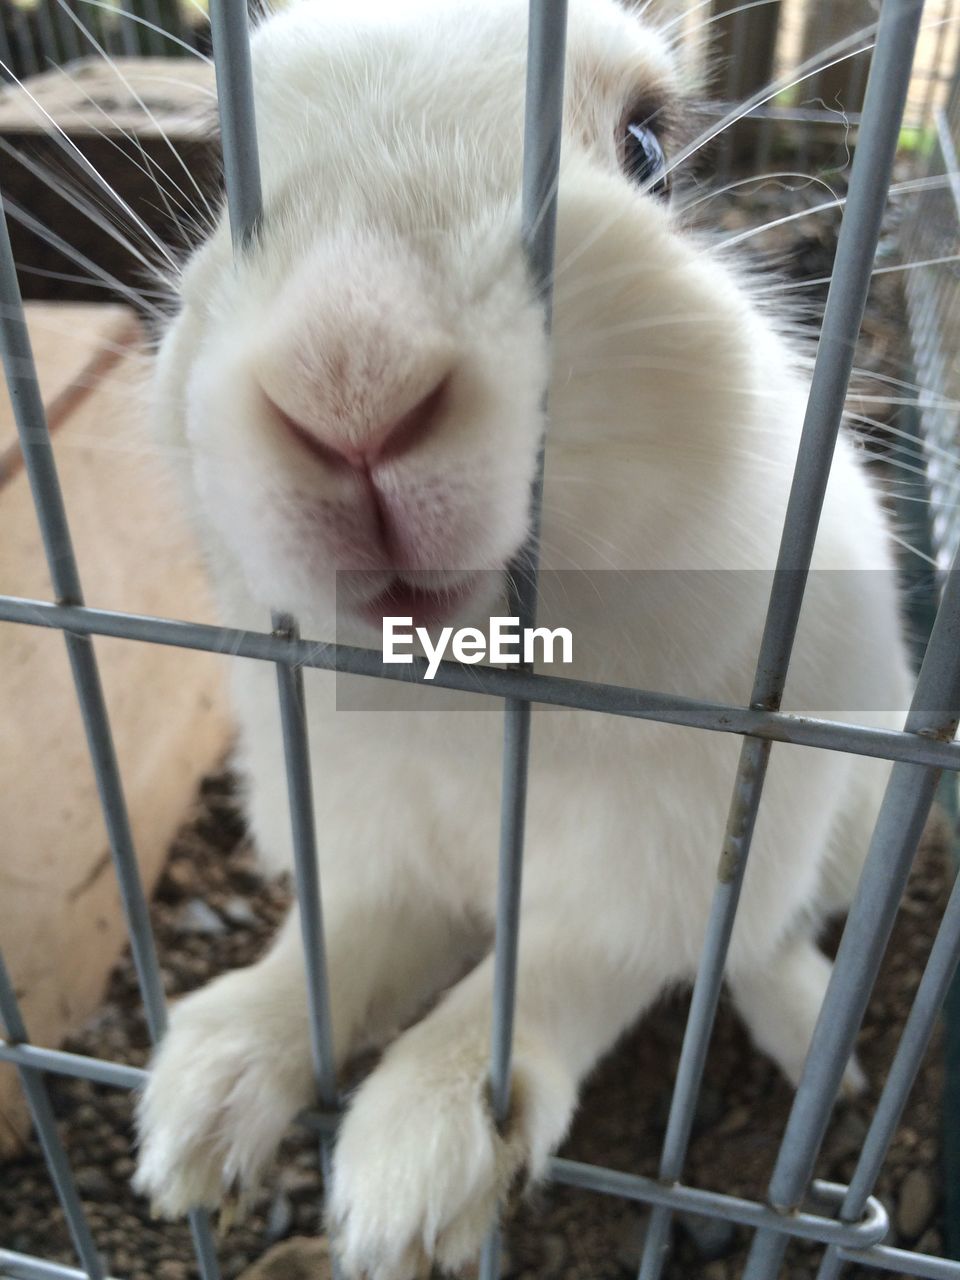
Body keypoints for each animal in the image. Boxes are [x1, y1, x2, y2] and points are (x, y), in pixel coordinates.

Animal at [131, 2, 911, 1280]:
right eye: (222, 178)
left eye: (647, 149)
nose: (350, 381)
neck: (470, 705)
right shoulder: (369, 842)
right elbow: (335, 948)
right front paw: (203, 1098)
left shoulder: (645, 885)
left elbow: (542, 986)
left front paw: (417, 1173)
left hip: (831, 832)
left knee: (766, 944)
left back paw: (821, 1053)